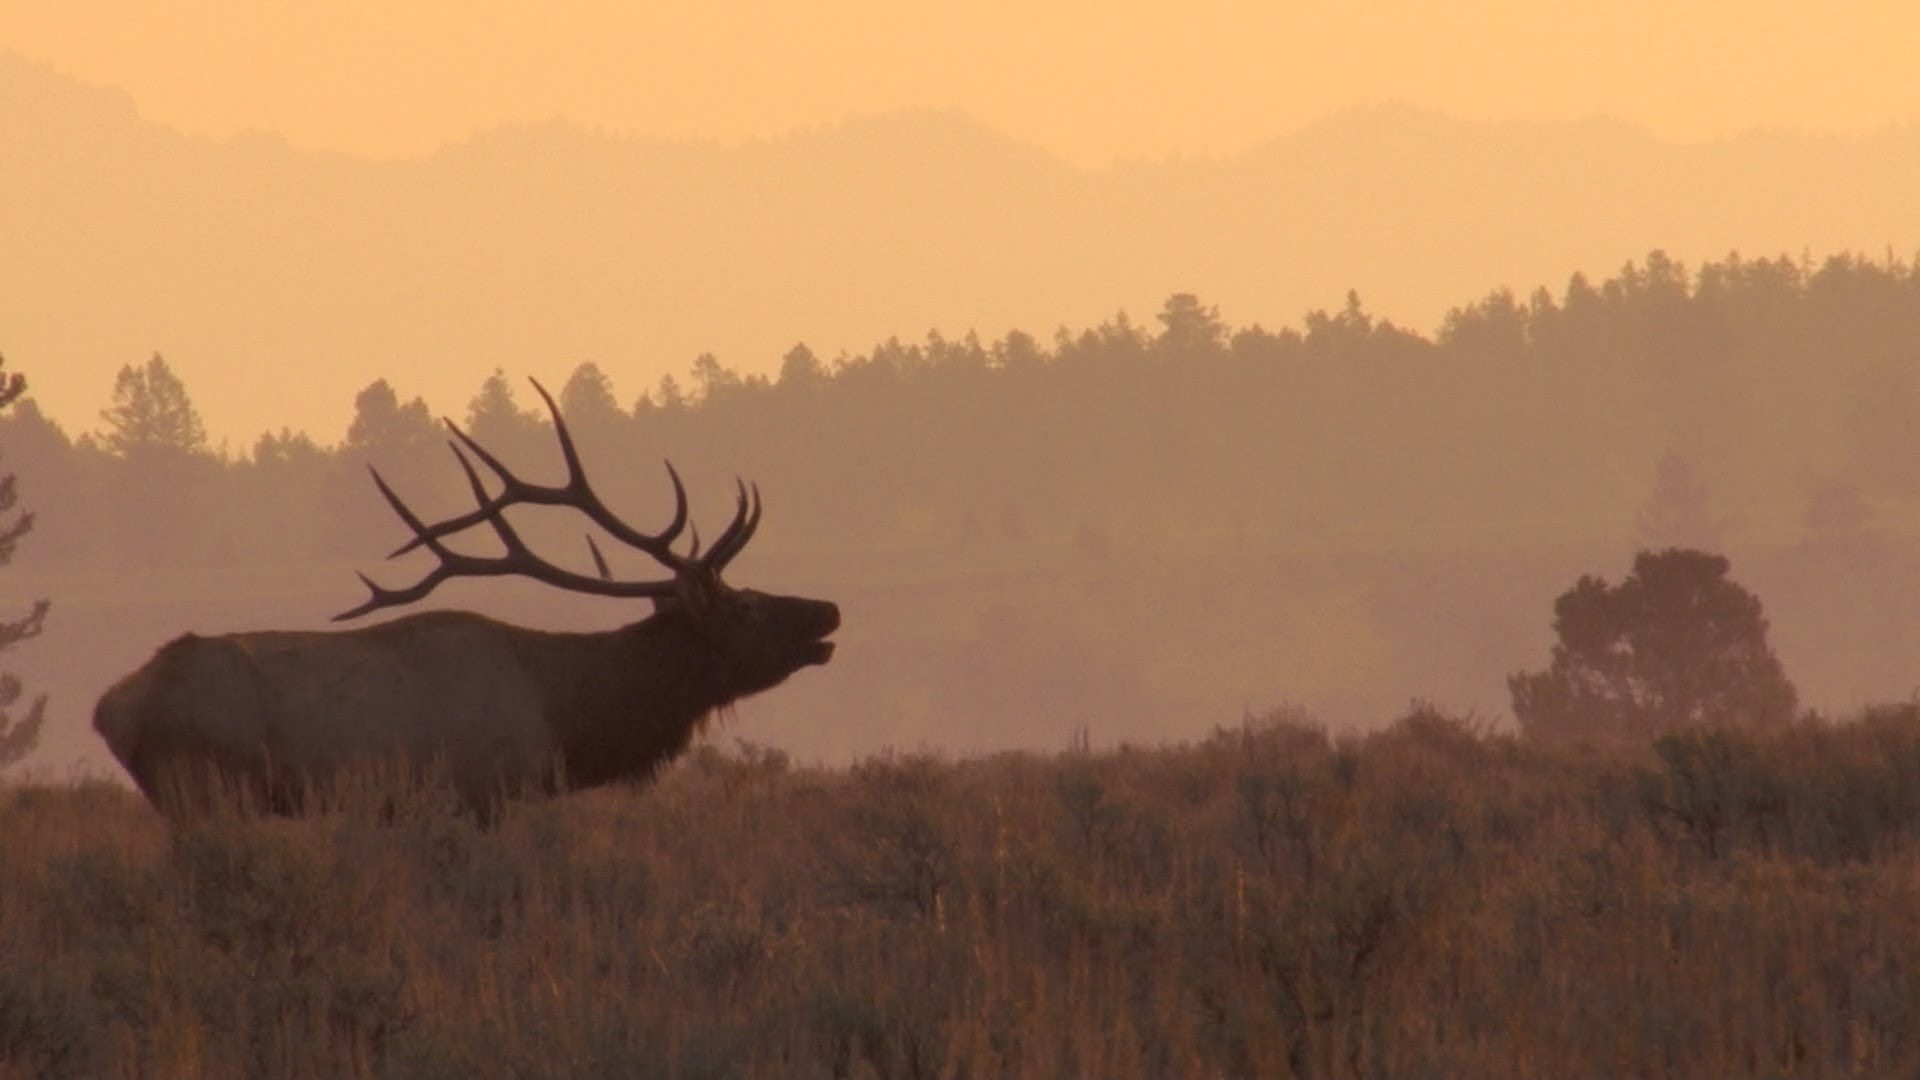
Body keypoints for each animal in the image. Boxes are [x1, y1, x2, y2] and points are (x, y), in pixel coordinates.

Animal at [93, 378, 839, 820]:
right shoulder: (485, 790)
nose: (828, 610)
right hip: (210, 789)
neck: (565, 717)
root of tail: (110, 708)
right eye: (745, 607)